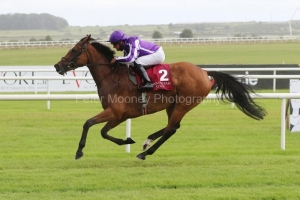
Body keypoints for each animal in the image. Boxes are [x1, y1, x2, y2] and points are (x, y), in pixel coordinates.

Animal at [53, 34, 264, 159]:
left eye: (74, 50)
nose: (57, 66)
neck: (112, 76)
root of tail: (205, 73)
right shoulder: (120, 114)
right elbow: (104, 132)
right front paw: (127, 141)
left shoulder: (115, 111)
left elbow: (88, 123)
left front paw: (79, 151)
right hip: (173, 105)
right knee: (173, 126)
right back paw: (147, 142)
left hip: (184, 104)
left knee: (171, 129)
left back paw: (146, 152)